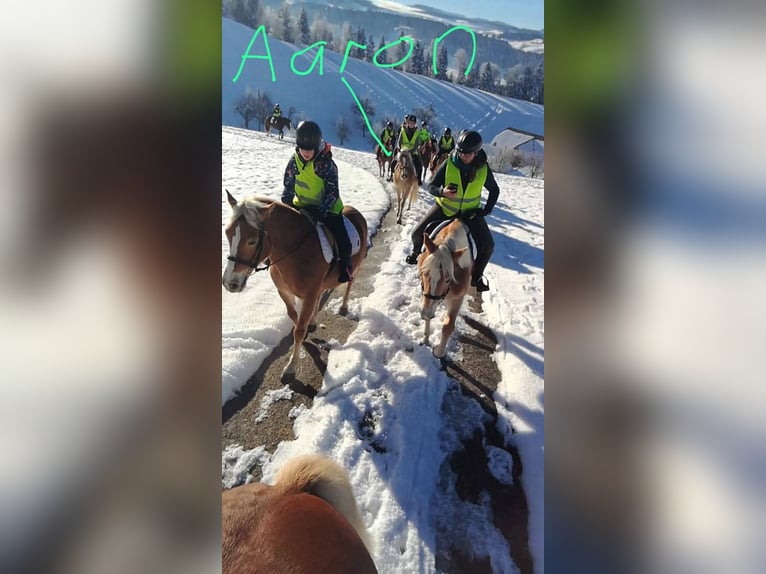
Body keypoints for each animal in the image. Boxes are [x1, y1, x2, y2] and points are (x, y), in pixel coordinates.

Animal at [222, 194, 368, 378]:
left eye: (252, 241)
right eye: (227, 234)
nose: (230, 283)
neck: (295, 251)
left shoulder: (309, 295)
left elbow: (298, 331)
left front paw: (291, 366)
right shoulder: (284, 292)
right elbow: (293, 317)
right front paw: (303, 327)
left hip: (356, 267)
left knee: (350, 283)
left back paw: (343, 307)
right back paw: (312, 321)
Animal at [420, 220, 474, 360]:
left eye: (448, 279)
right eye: (424, 273)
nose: (426, 313)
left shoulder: (457, 298)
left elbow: (448, 326)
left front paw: (439, 352)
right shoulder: (426, 295)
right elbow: (428, 314)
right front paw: (425, 340)